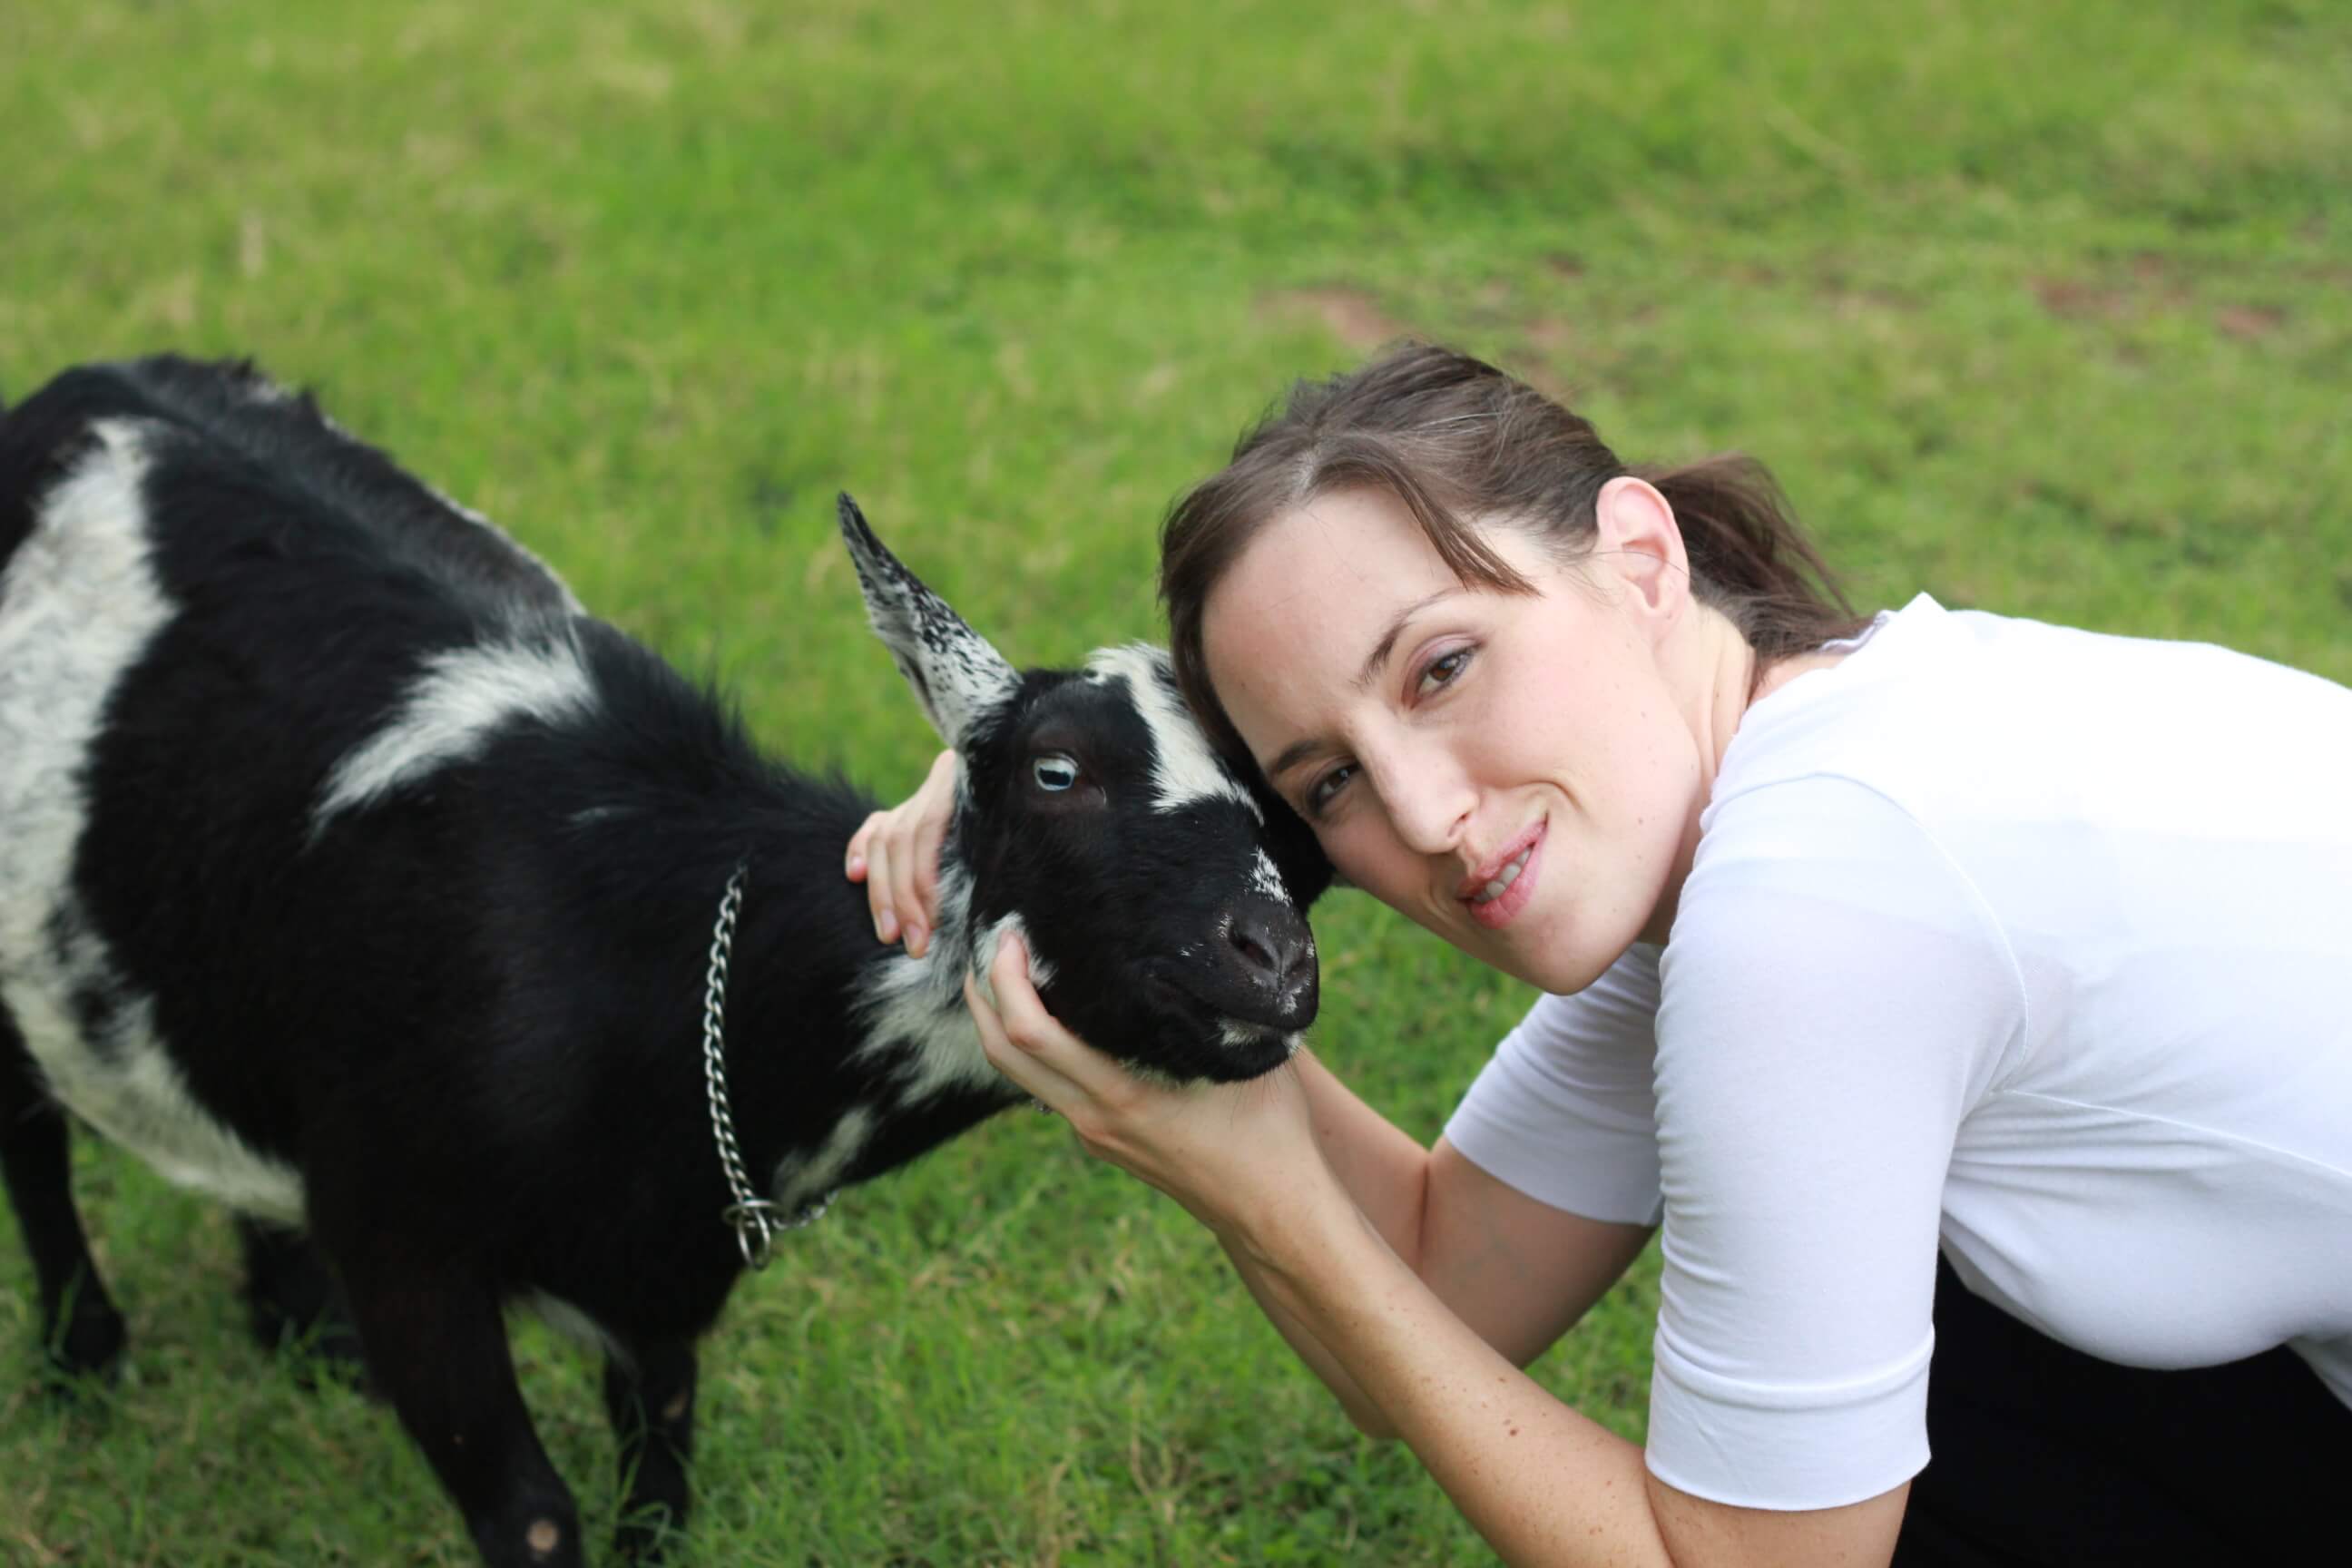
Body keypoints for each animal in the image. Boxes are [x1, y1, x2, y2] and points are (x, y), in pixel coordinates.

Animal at [0, 355, 1328, 1567]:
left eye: (1293, 816)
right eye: (1057, 771)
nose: (1272, 965)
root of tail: (87, 382)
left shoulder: (655, 1288)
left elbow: (662, 1478)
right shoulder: (399, 1235)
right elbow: (536, 1517)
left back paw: (296, 1333)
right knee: (34, 1142)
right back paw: (84, 1359)